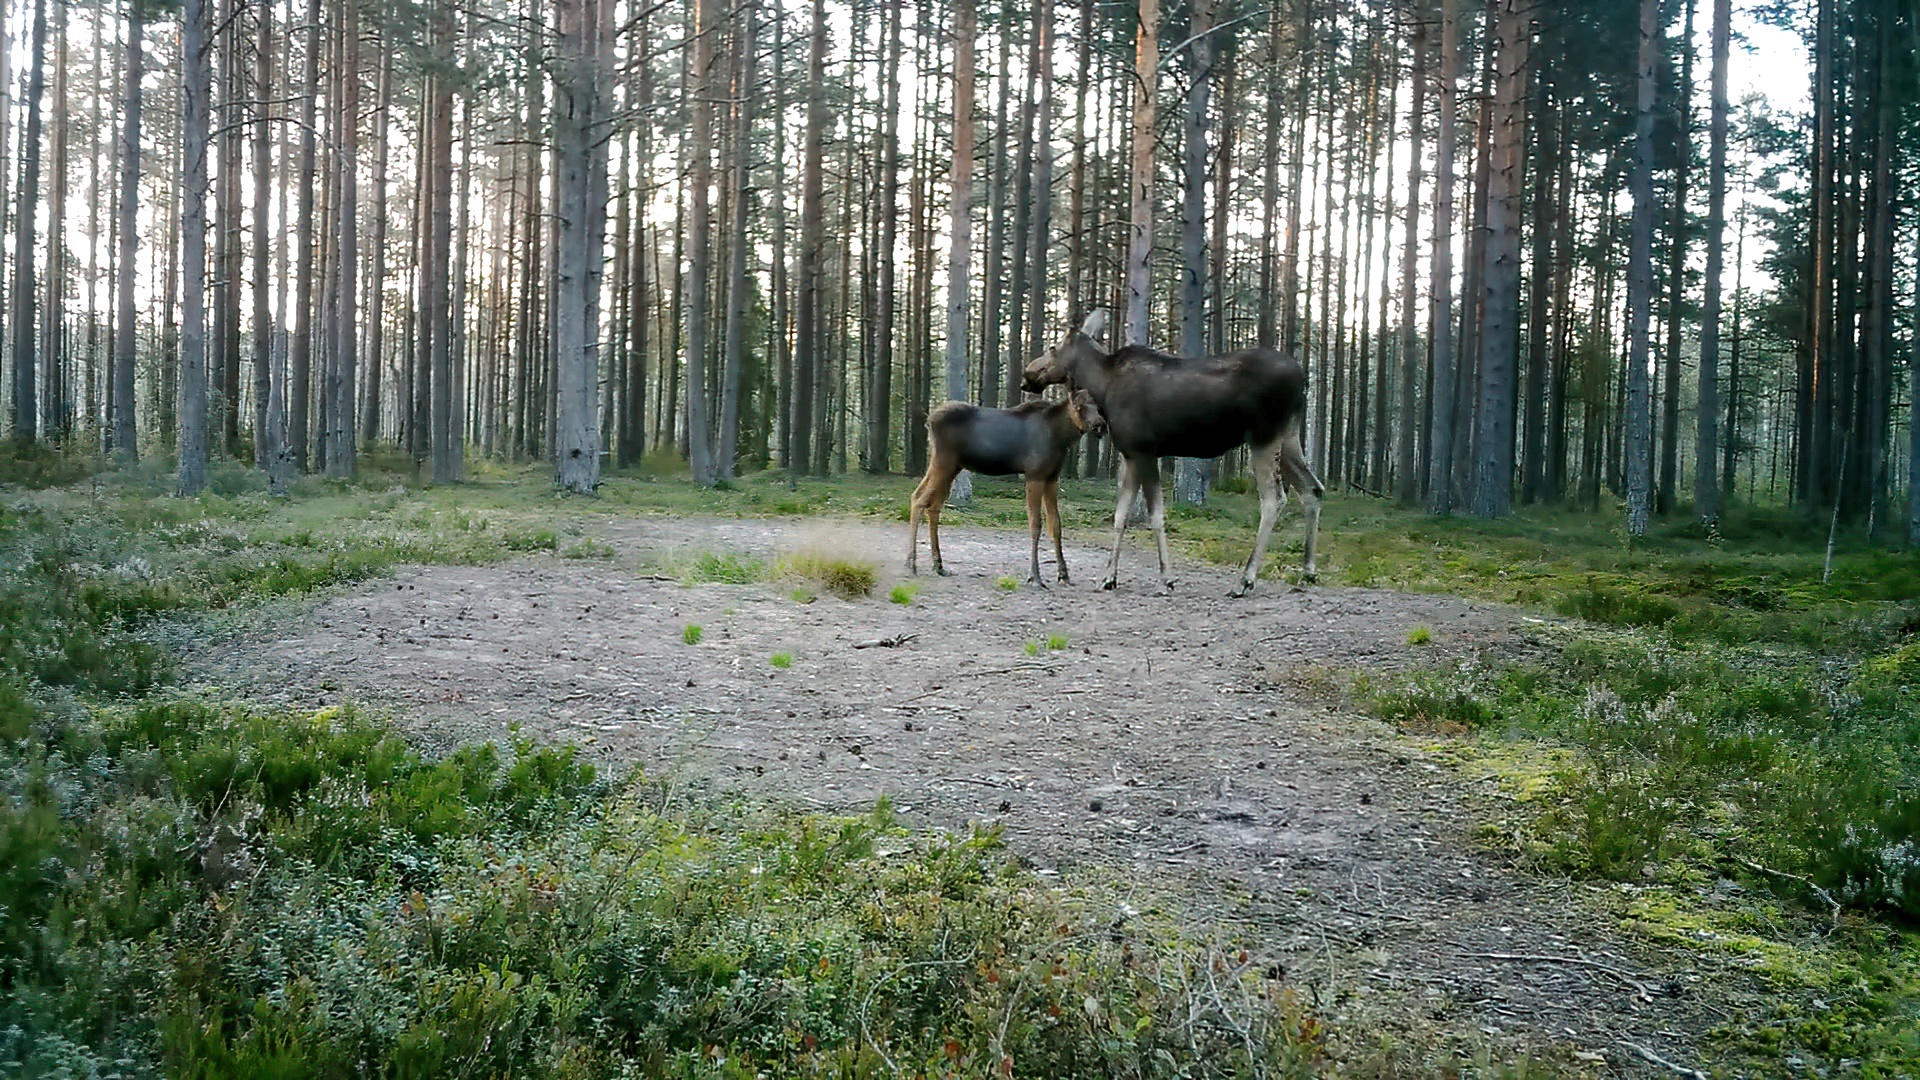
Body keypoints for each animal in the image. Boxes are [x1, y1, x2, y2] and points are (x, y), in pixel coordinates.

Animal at [1021, 309, 1320, 595]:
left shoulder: (1145, 450)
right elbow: (1120, 515)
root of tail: (1304, 379)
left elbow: (1156, 515)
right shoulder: (1131, 454)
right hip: (1289, 437)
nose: (1026, 375)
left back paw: (1245, 581)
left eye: (1052, 347)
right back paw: (1307, 572)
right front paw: (1108, 577)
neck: (1101, 387)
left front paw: (1166, 578)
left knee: (1274, 499)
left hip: (1263, 436)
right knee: (1312, 488)